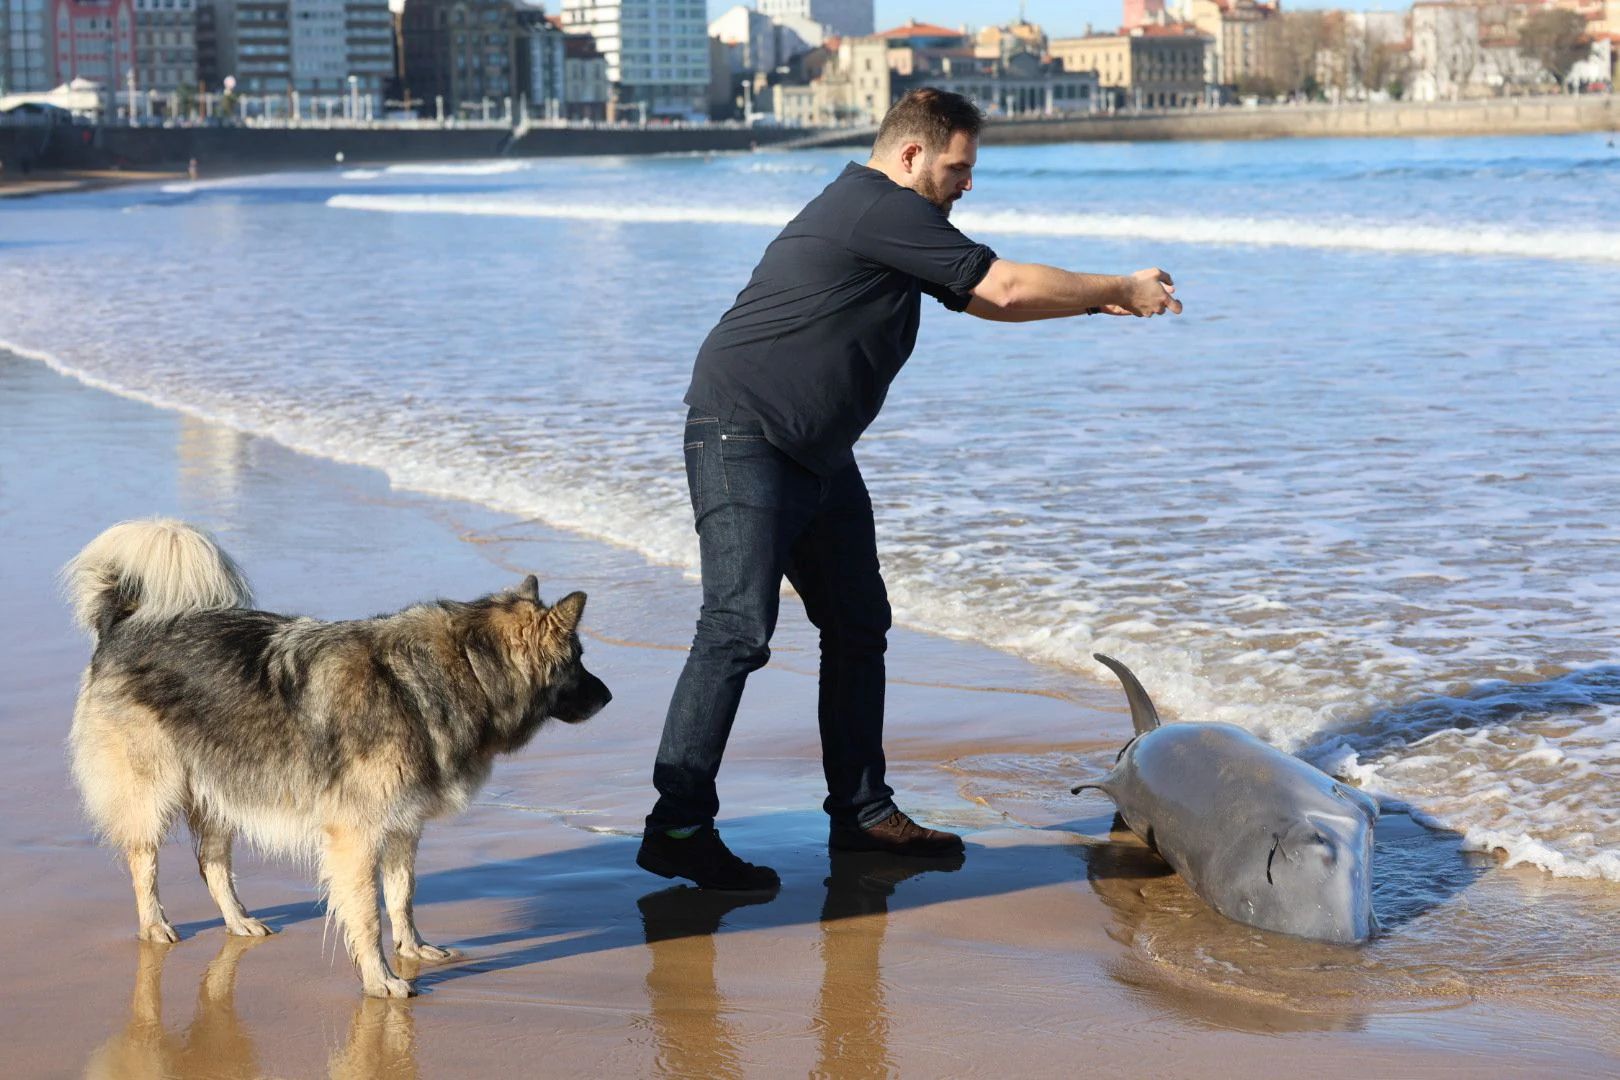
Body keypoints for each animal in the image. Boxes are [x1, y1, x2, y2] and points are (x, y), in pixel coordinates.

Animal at [61, 518, 609, 1003]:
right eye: (579, 659)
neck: (463, 670)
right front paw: (380, 980)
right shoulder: (357, 836)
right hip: (152, 792)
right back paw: (154, 925)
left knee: (211, 862)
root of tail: (124, 621)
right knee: (144, 861)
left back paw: (238, 921)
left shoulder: (403, 826)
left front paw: (412, 948)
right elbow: (367, 914)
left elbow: (403, 896)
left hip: (222, 787)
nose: (608, 696)